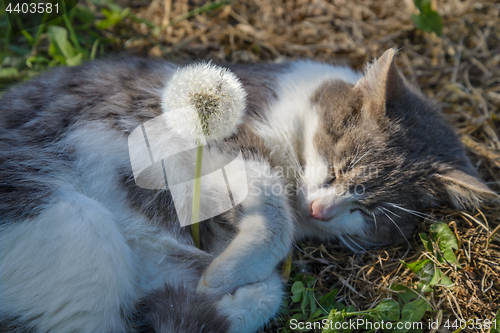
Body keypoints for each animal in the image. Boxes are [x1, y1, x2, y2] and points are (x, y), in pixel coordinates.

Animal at [0, 48, 494, 330]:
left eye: (370, 212)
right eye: (337, 169)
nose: (321, 210)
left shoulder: (164, 255)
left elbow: (264, 287)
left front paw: (218, 286)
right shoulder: (194, 136)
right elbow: (272, 213)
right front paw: (225, 275)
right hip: (72, 219)